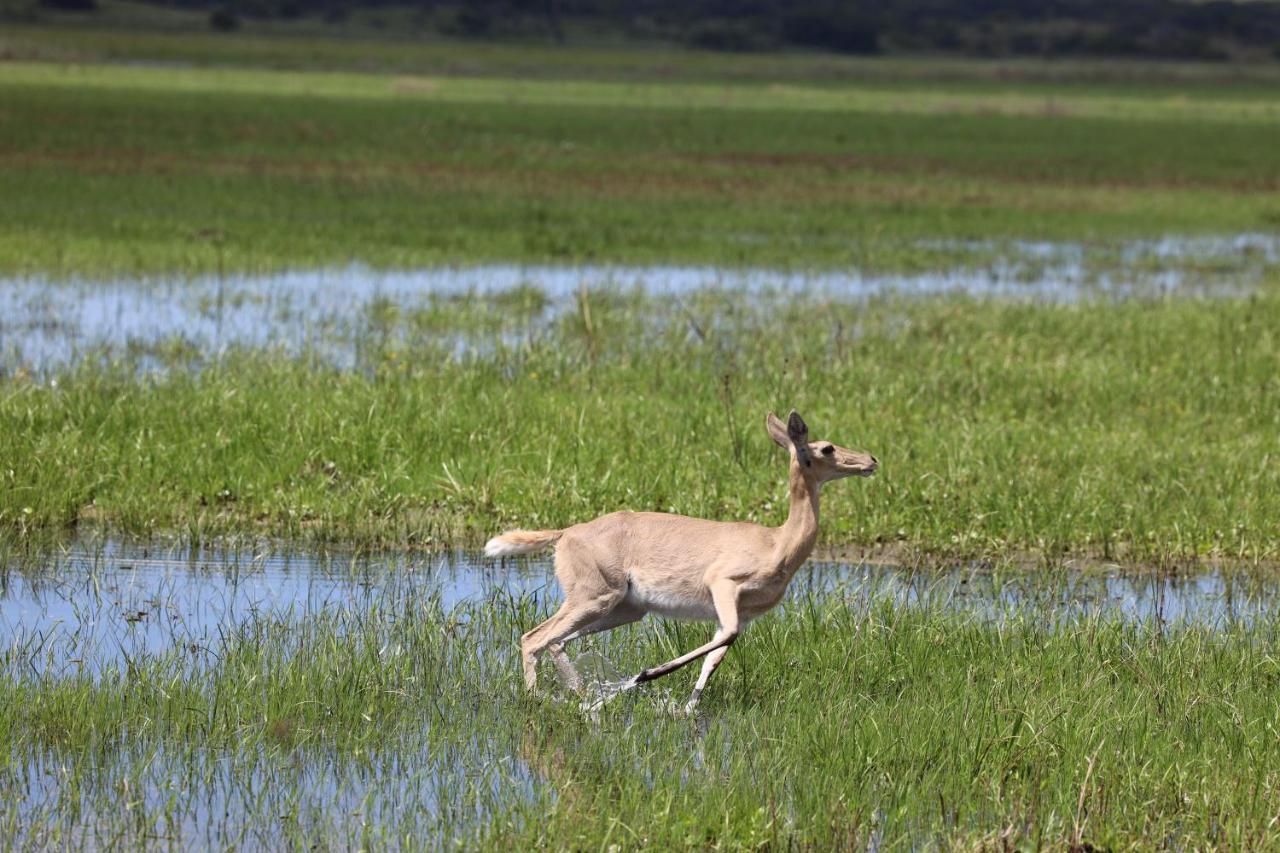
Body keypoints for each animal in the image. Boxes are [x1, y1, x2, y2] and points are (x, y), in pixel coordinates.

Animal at [483, 409, 875, 712]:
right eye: (826, 447)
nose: (870, 460)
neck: (778, 542)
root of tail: (566, 533)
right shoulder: (723, 586)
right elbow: (725, 638)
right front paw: (645, 676)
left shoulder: (742, 614)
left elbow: (716, 655)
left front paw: (688, 708)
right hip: (594, 598)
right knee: (534, 637)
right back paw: (544, 699)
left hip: (624, 609)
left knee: (554, 641)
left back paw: (582, 696)